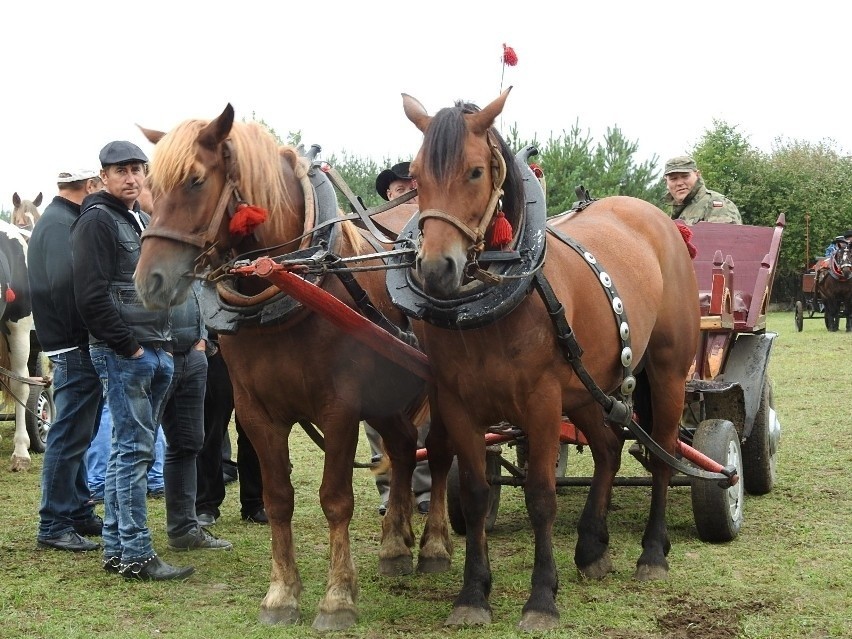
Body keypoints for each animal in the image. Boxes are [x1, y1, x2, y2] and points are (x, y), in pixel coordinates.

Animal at [402, 90, 704, 632]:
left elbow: (542, 497)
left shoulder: (541, 404)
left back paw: (652, 552)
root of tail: (659, 220)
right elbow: (475, 494)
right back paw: (592, 547)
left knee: (663, 454)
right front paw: (472, 594)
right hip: (588, 388)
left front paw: (541, 597)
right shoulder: (457, 403)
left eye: (474, 171)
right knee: (608, 450)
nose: (436, 270)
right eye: (415, 176)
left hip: (667, 373)